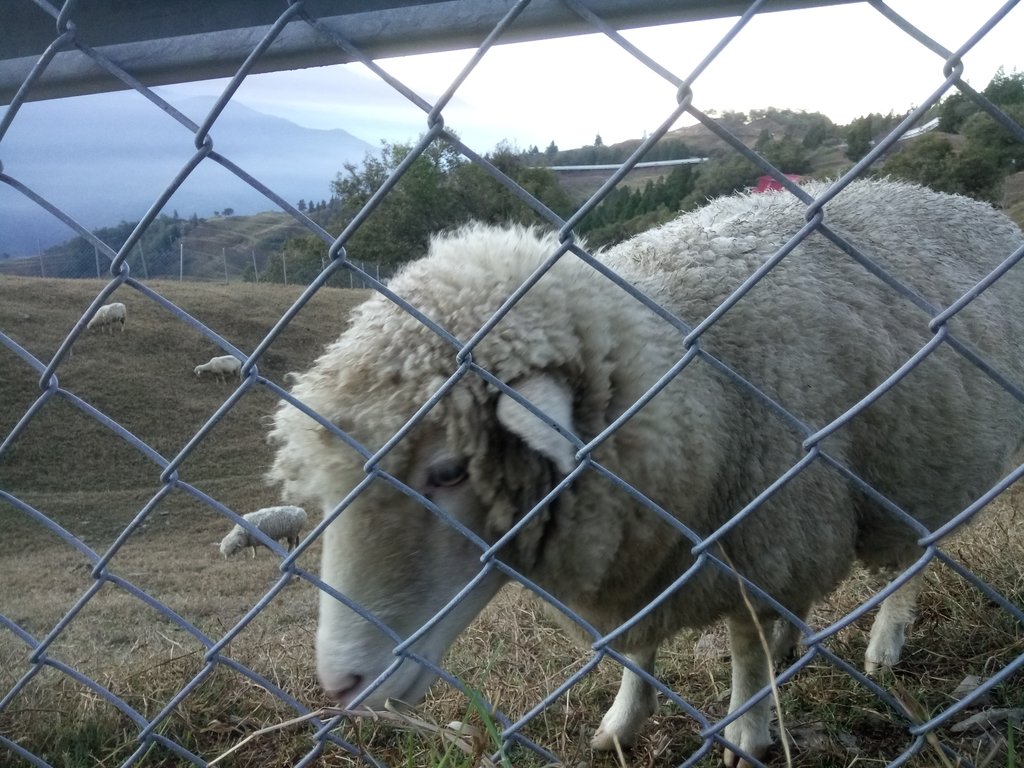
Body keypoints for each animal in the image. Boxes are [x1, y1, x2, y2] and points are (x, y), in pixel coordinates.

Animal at [266, 182, 1024, 768]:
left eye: (449, 470)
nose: (340, 686)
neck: (684, 380)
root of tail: (971, 204)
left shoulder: (759, 536)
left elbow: (744, 655)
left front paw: (746, 733)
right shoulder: (653, 551)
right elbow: (637, 651)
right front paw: (622, 722)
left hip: (922, 472)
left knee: (910, 566)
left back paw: (883, 646)